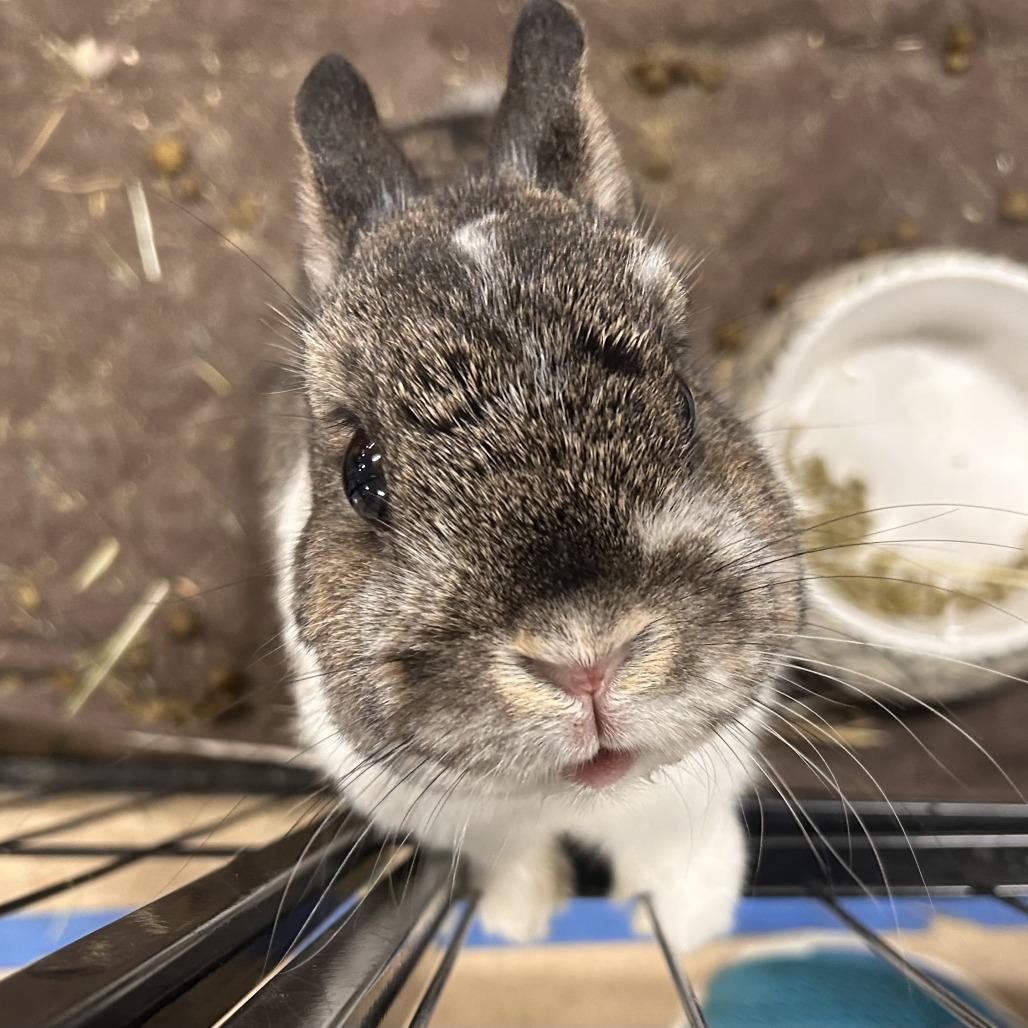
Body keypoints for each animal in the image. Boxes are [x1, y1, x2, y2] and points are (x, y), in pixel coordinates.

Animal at [268, 0, 804, 953]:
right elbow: (512, 858)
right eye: (362, 474)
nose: (587, 662)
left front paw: (686, 927)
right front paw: (521, 922)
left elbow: (678, 856)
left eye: (685, 400)